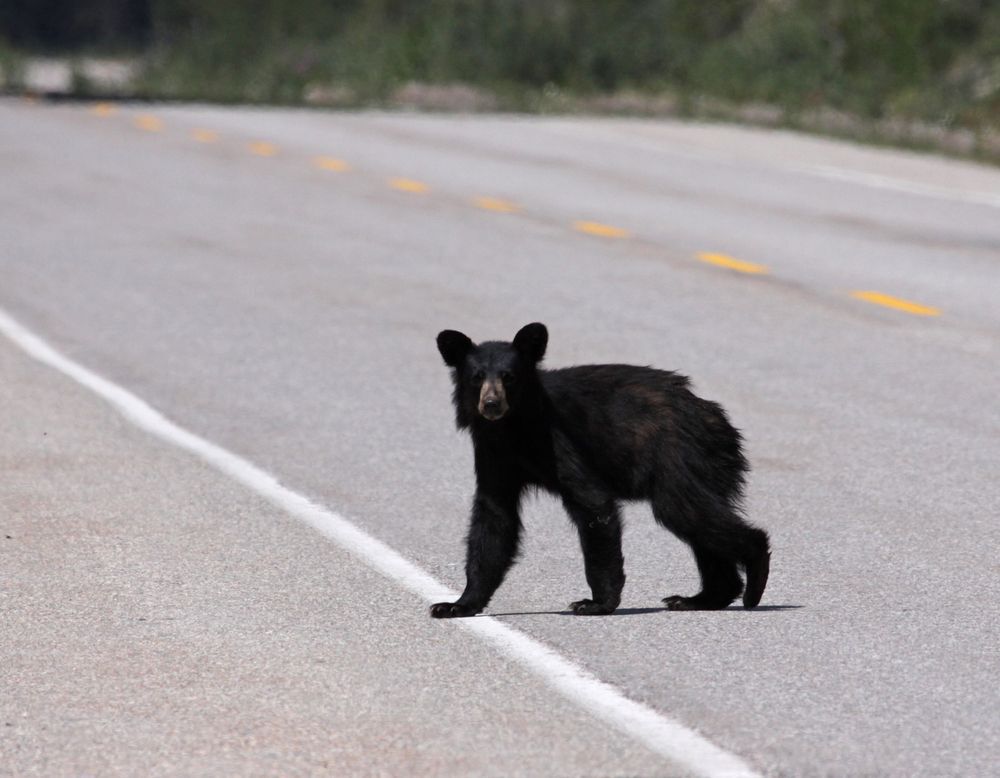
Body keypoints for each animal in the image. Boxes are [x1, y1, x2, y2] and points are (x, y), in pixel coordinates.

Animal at [431, 322, 770, 618]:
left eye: (509, 376)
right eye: (476, 377)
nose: (490, 404)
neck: (512, 428)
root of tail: (716, 417)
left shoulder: (557, 439)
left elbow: (592, 503)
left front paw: (594, 603)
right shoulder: (493, 454)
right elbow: (494, 518)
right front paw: (455, 605)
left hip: (681, 457)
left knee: (686, 511)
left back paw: (754, 578)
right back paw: (699, 598)